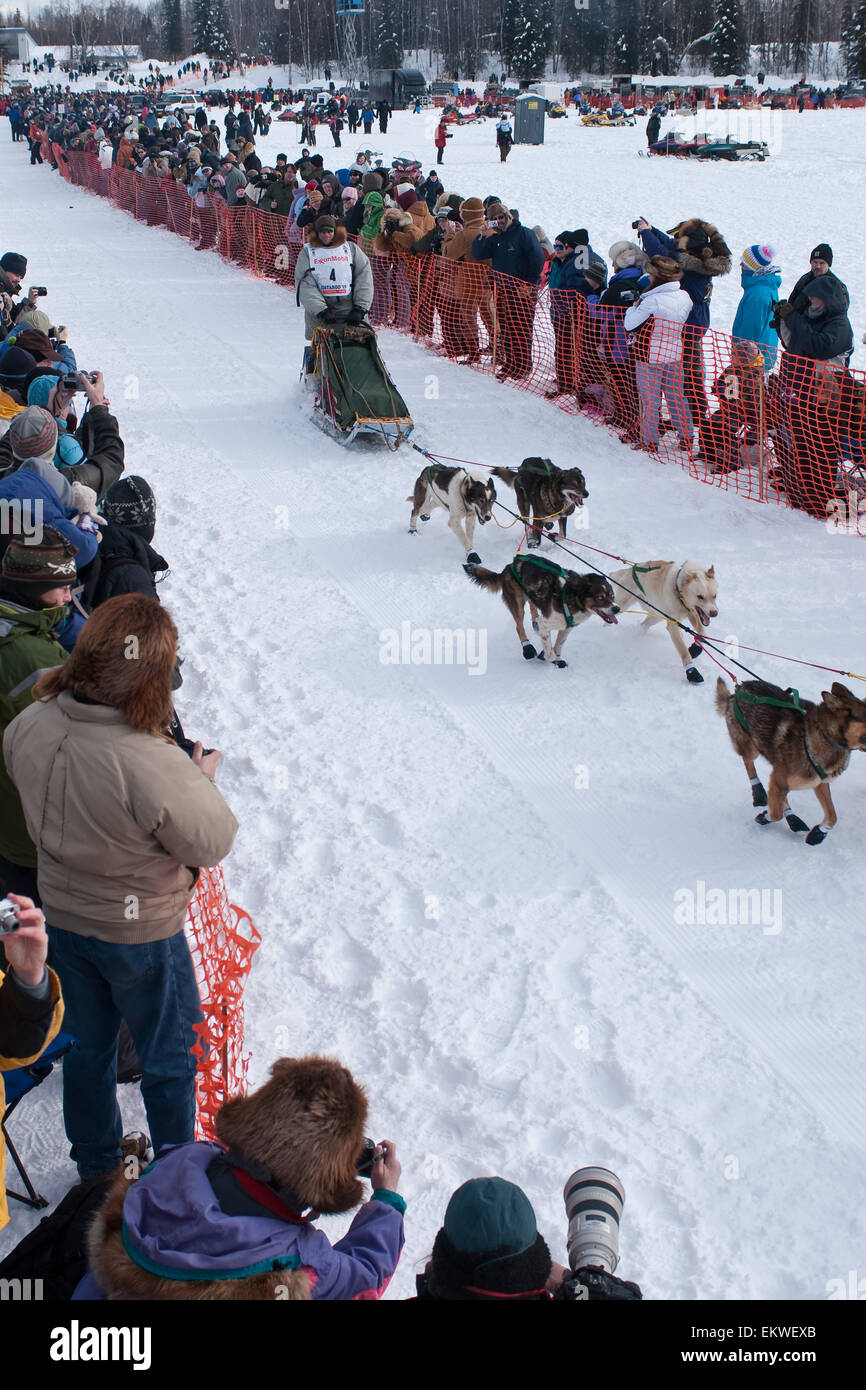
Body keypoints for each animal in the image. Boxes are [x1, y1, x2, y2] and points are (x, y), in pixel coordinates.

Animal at [467, 550, 617, 664]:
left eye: (612, 595)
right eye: (600, 597)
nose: (617, 609)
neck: (571, 596)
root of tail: (508, 567)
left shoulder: (566, 628)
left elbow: (559, 645)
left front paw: (556, 657)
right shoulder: (546, 623)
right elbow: (549, 649)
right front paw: (547, 656)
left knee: (533, 607)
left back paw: (534, 623)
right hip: (517, 602)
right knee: (519, 626)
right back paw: (527, 648)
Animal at [717, 675, 866, 845]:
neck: (825, 736)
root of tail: (738, 689)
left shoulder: (819, 783)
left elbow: (833, 816)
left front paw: (818, 832)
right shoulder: (780, 779)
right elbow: (776, 814)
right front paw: (765, 816)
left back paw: (792, 818)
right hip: (751, 746)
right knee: (748, 763)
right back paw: (759, 792)